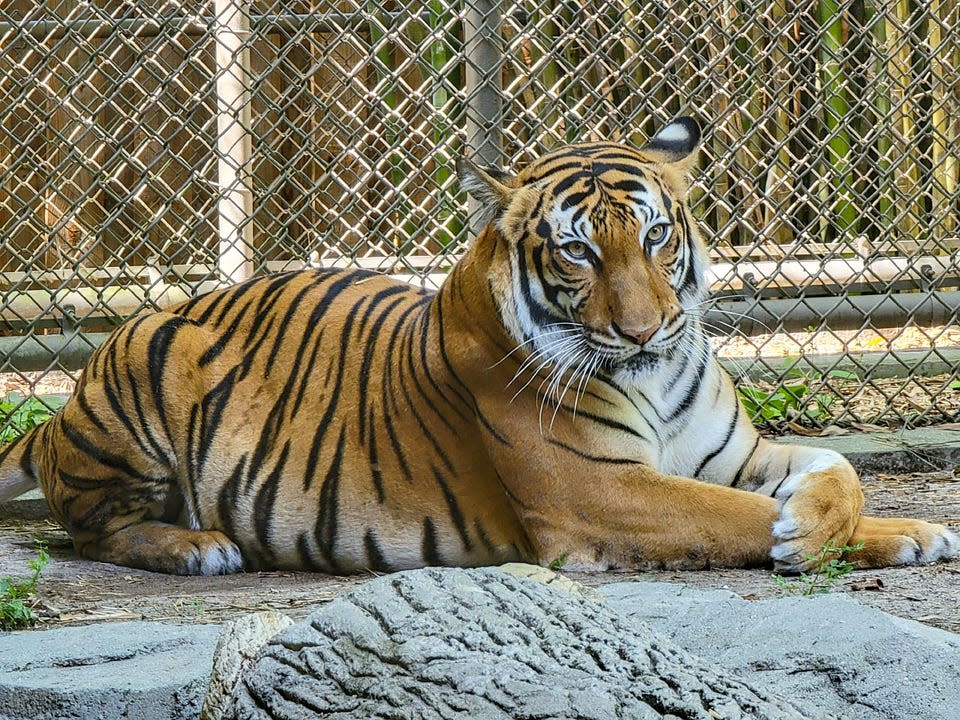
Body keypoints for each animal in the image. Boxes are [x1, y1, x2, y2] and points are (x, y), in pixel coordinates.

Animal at [0, 119, 956, 580]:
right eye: (578, 251)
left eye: (655, 236)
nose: (645, 330)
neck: (658, 379)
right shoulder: (600, 493)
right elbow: (733, 518)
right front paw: (806, 536)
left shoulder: (733, 453)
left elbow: (840, 470)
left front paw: (903, 529)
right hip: (144, 381)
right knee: (89, 531)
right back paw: (196, 548)